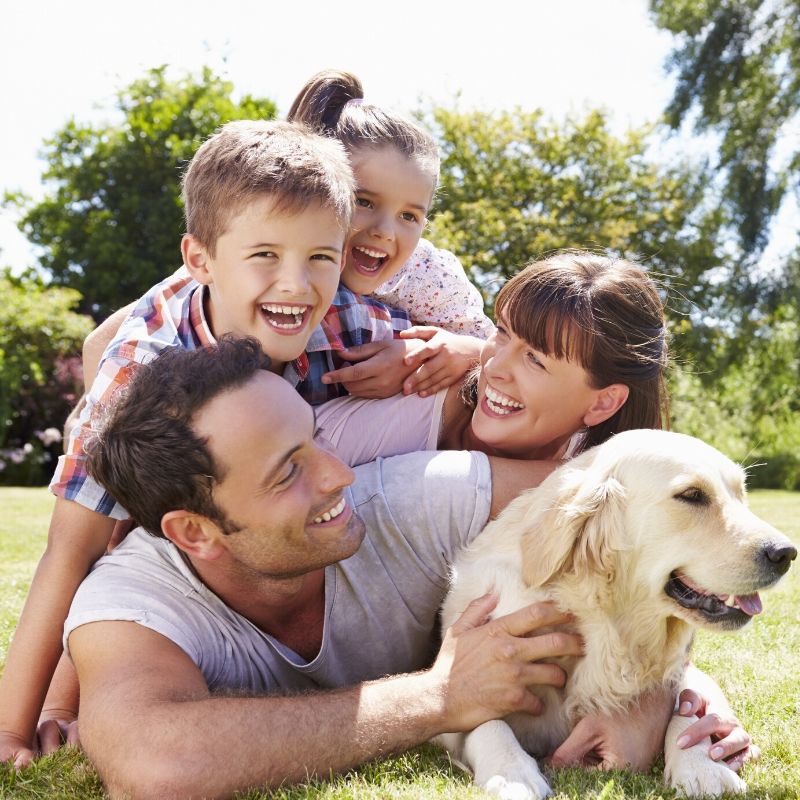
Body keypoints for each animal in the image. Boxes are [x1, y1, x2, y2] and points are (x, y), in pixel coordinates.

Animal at [438, 432, 792, 800]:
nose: (786, 553)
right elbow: (485, 719)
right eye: (692, 495)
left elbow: (687, 707)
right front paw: (512, 773)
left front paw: (702, 768)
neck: (604, 625)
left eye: (741, 494)